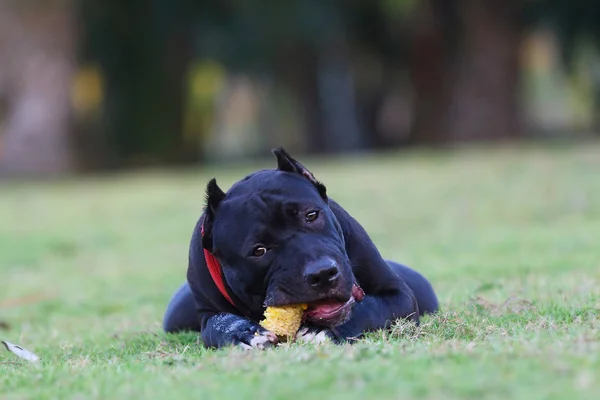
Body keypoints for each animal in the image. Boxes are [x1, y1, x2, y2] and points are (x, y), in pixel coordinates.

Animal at [162, 148, 438, 350]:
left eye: (312, 215)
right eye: (258, 250)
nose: (323, 273)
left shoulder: (399, 296)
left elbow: (368, 308)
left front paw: (320, 330)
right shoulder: (208, 313)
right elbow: (217, 324)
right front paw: (241, 333)